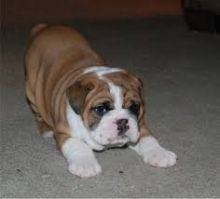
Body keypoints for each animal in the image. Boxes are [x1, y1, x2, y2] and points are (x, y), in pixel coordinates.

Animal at [24, 24, 177, 178]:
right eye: (101, 109)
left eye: (134, 107)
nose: (122, 121)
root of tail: (45, 27)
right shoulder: (64, 133)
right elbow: (78, 145)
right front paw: (85, 165)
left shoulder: (139, 125)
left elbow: (148, 138)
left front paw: (160, 154)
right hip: (32, 90)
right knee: (38, 113)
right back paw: (46, 129)